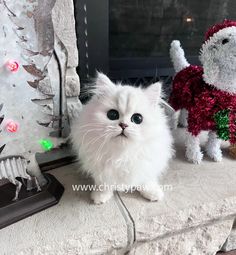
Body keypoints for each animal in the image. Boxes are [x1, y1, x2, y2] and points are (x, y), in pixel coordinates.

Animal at [71, 72, 172, 204]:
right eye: (112, 115)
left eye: (137, 118)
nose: (123, 125)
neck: (122, 154)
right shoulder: (101, 170)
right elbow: (103, 183)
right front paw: (100, 196)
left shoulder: (147, 164)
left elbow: (146, 181)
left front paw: (153, 193)